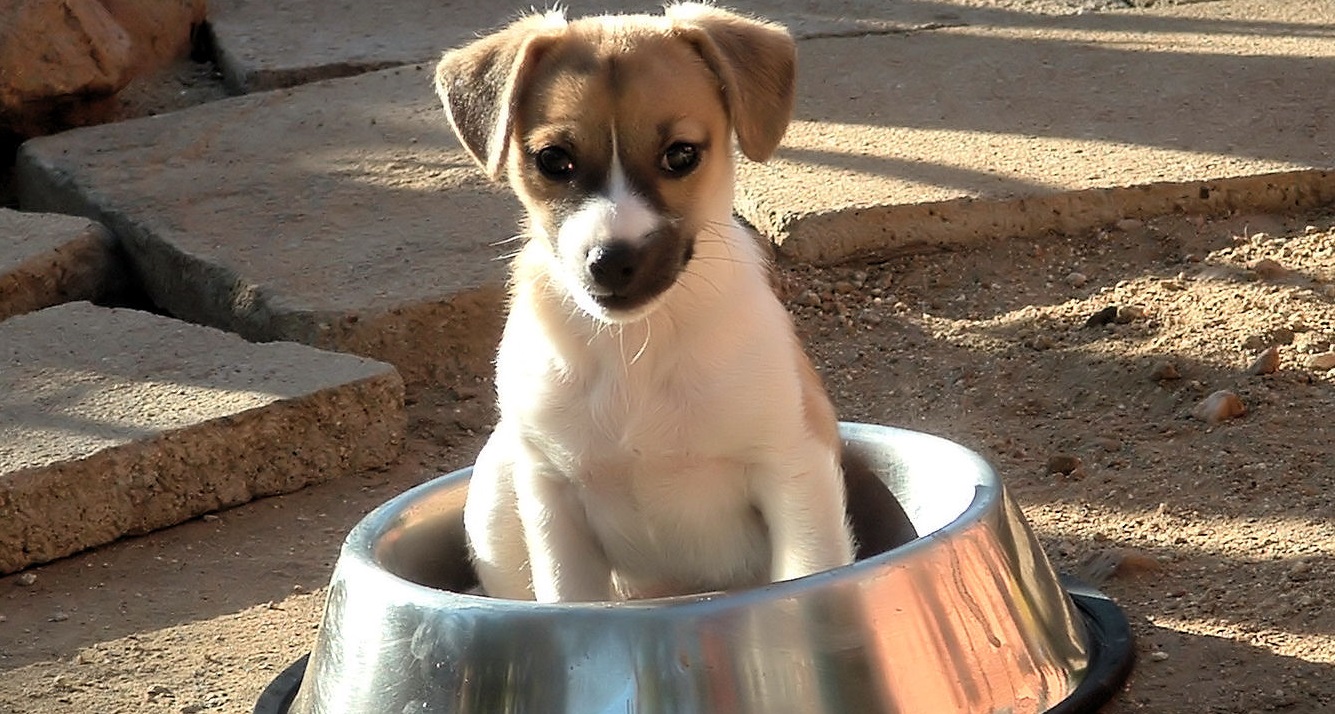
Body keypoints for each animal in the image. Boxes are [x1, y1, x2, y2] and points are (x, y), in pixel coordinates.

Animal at [432, 2, 913, 603]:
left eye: (681, 154)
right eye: (553, 160)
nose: (611, 262)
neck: (637, 344)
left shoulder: (792, 470)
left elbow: (807, 569)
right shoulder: (552, 500)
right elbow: (568, 598)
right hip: (499, 484)